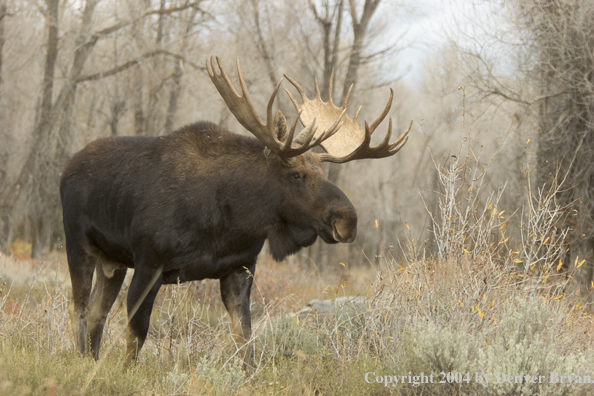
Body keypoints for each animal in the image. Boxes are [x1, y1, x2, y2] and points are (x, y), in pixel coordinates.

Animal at [61, 55, 412, 366]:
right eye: (296, 174)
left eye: (323, 172)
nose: (348, 219)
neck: (232, 220)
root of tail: (66, 168)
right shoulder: (150, 262)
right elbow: (136, 334)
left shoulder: (239, 267)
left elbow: (245, 340)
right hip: (78, 244)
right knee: (80, 310)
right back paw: (81, 360)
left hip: (113, 261)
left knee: (96, 313)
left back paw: (91, 361)